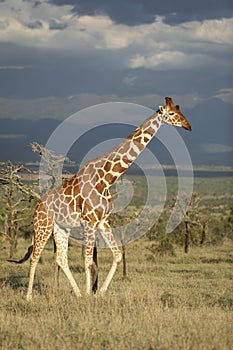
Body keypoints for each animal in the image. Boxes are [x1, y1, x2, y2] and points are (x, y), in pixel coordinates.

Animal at [9, 97, 191, 300]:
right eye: (172, 113)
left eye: (180, 110)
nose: (188, 126)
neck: (107, 179)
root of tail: (37, 205)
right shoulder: (89, 221)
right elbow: (89, 260)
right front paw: (90, 292)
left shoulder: (103, 220)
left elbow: (116, 254)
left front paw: (99, 291)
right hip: (42, 226)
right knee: (35, 256)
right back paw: (29, 297)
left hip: (61, 228)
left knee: (61, 258)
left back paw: (77, 293)